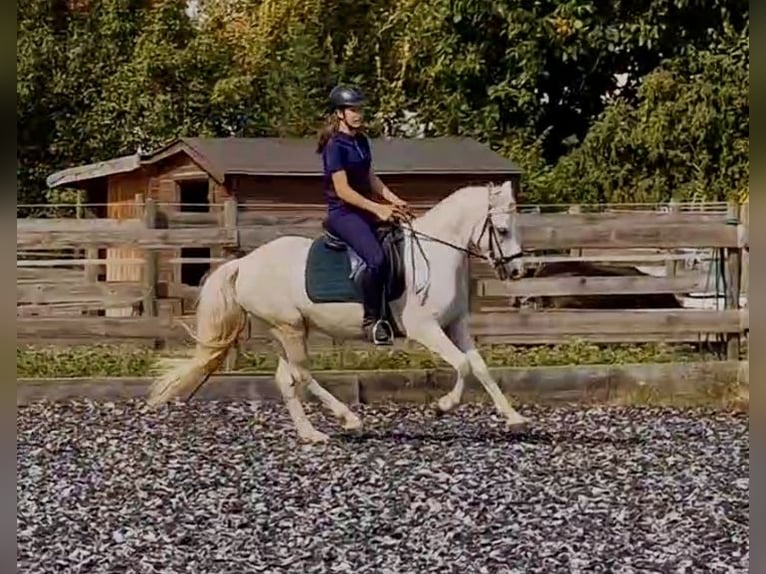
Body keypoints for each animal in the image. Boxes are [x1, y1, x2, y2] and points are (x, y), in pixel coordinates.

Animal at [149, 182, 532, 444]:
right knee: (302, 374)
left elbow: (480, 367)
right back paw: (347, 419)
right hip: (288, 327)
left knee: (287, 379)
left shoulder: (455, 325)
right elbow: (463, 365)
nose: (518, 272)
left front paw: (514, 418)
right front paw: (442, 406)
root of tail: (244, 263)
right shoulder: (425, 328)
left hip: (283, 330)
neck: (436, 254)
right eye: (501, 230)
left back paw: (311, 434)